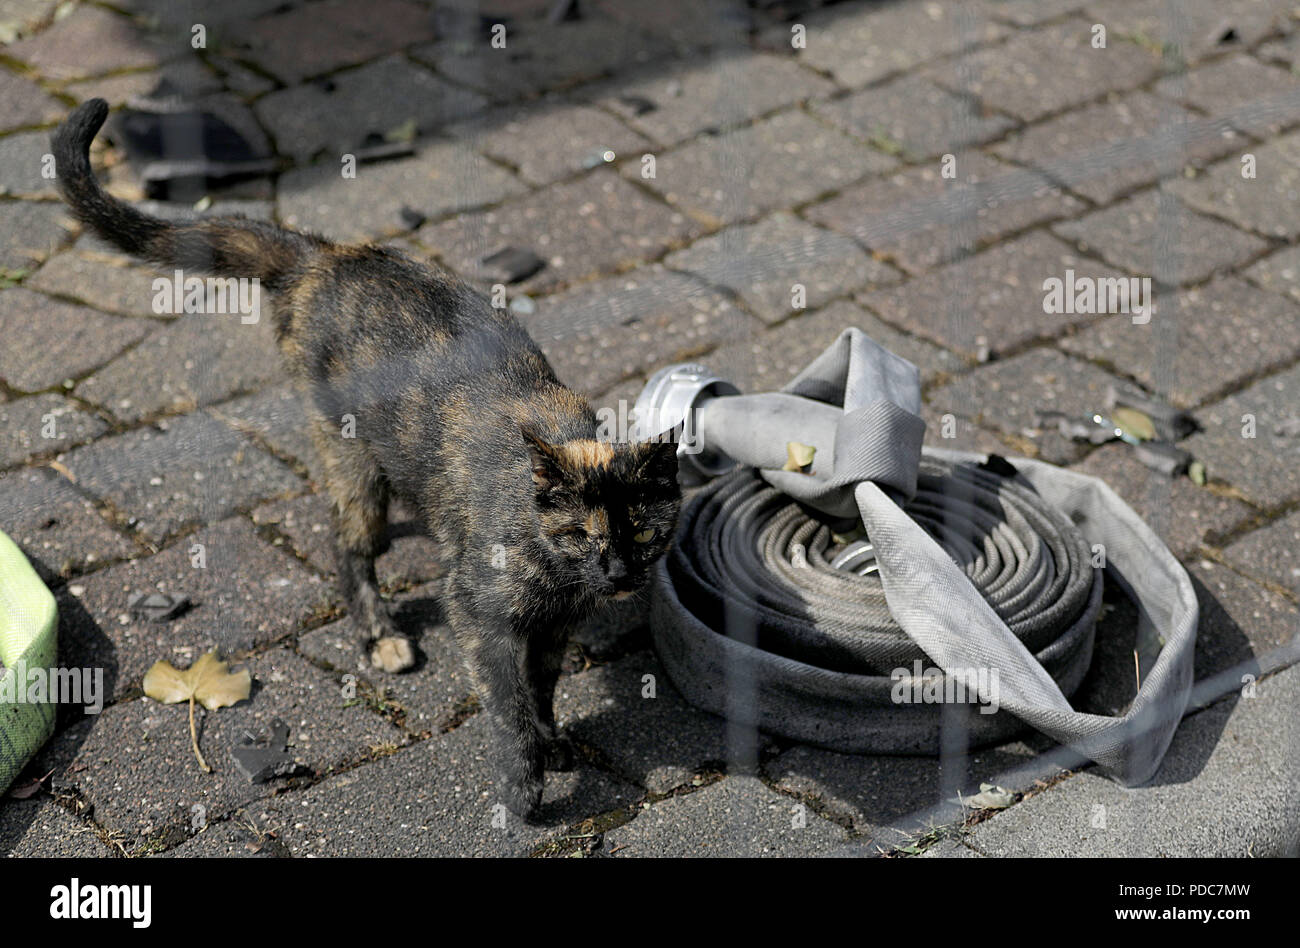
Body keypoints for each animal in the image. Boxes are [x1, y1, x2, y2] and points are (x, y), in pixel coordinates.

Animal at [53, 100, 681, 816]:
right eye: (582, 534)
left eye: (644, 532)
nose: (618, 574)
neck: (553, 567)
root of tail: (324, 255)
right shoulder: (479, 613)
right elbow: (509, 700)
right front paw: (524, 783)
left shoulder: (555, 626)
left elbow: (542, 688)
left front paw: (552, 743)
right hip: (351, 457)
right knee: (348, 542)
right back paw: (380, 635)